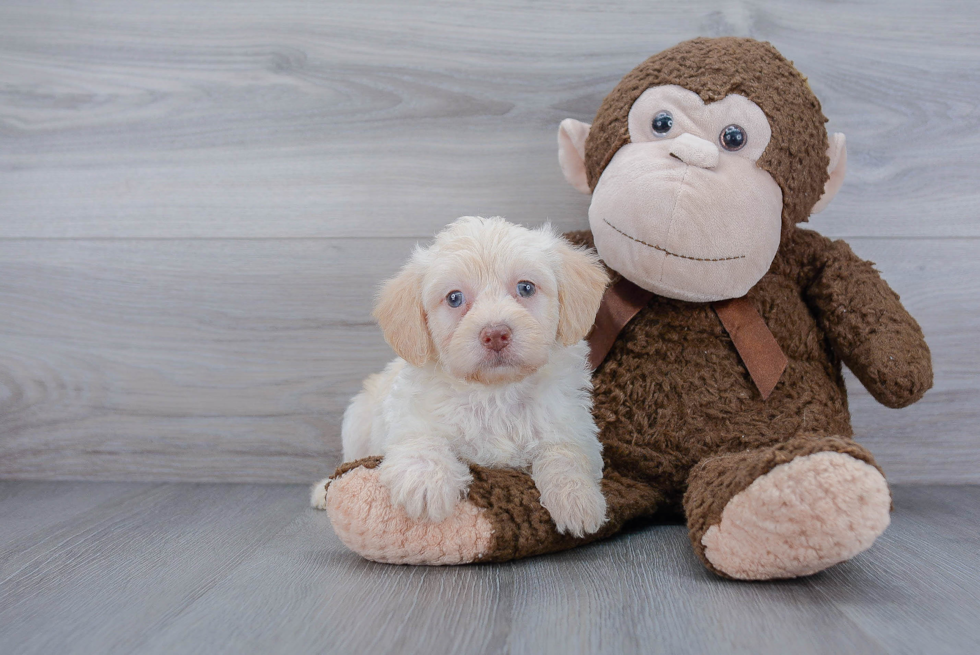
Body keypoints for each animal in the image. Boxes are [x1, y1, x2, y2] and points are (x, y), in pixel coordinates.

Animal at [310, 217, 608, 540]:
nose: (495, 334)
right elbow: (422, 441)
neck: (495, 393)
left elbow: (566, 454)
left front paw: (577, 497)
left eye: (526, 288)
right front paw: (426, 483)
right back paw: (321, 490)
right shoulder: (411, 419)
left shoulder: (571, 426)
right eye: (454, 298)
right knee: (348, 460)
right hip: (356, 421)